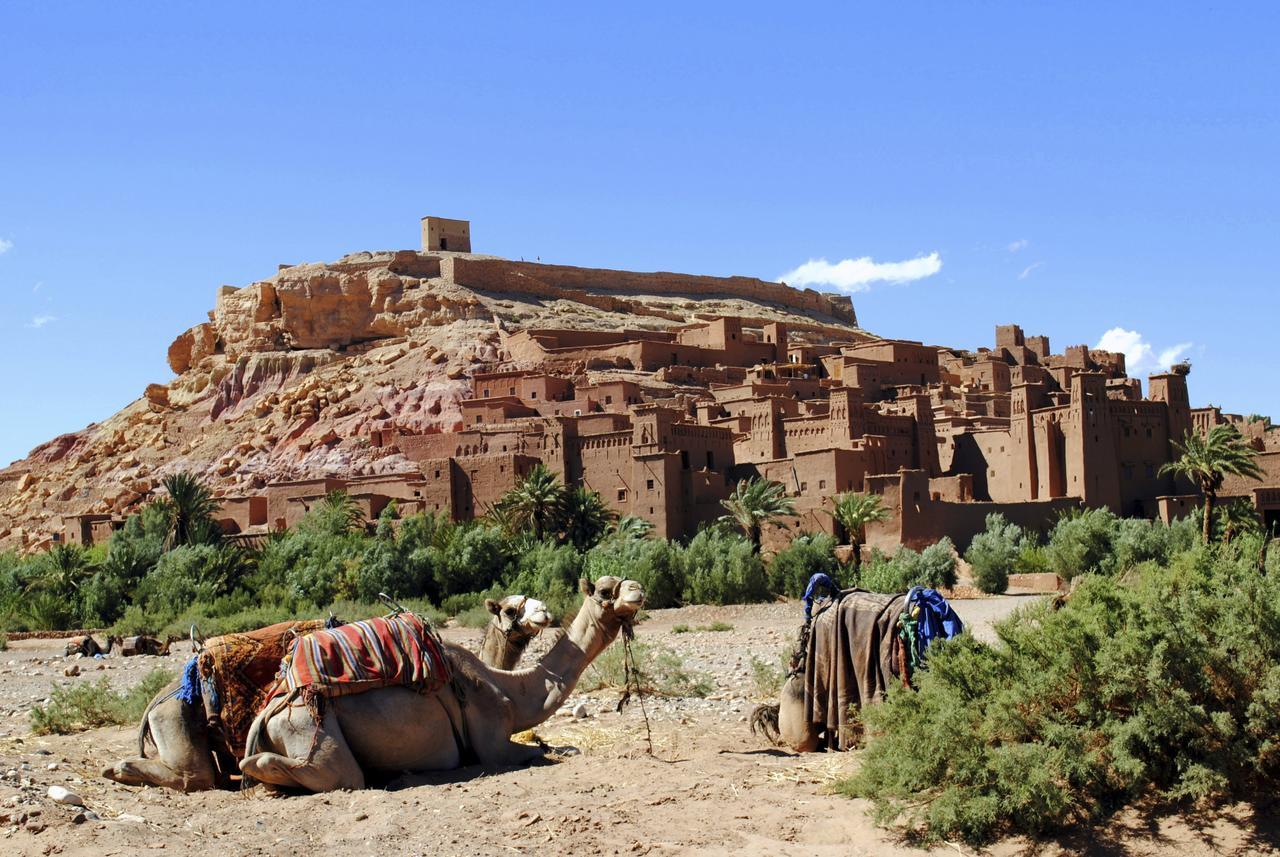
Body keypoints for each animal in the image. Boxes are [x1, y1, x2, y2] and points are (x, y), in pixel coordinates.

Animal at [236, 580, 645, 798]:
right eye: (605, 590)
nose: (637, 589)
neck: (510, 690)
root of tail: (269, 711)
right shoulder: (493, 743)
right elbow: (546, 751)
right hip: (309, 730)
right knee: (326, 772)